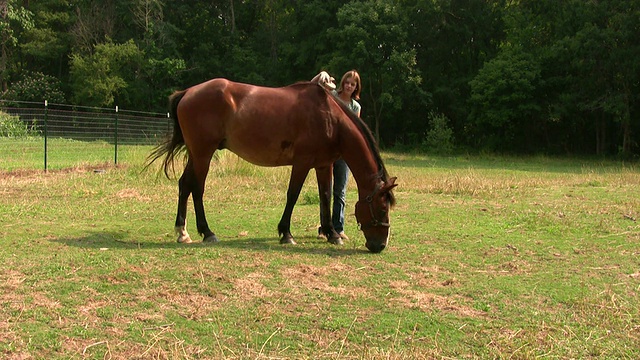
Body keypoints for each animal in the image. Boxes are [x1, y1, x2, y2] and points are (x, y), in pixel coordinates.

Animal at [148, 79, 396, 253]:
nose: (380, 245)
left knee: (185, 185)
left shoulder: (323, 165)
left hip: (196, 154)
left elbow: (325, 196)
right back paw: (207, 232)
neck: (331, 119)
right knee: (197, 188)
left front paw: (332, 233)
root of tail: (188, 92)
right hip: (203, 154)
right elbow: (293, 195)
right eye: (382, 209)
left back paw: (182, 232)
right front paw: (286, 233)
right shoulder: (302, 163)